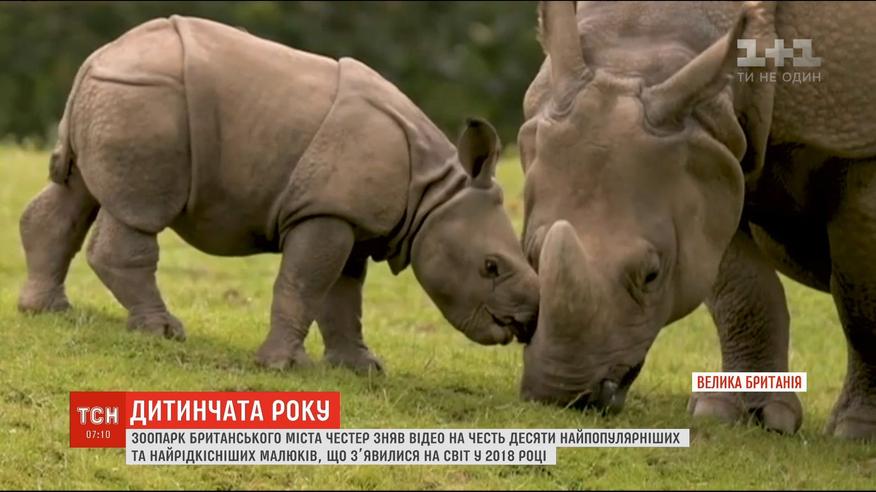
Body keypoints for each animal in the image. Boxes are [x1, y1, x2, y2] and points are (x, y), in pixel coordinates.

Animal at [17, 15, 539, 373]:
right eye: (491, 267)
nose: (526, 322)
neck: (432, 196)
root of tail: (99, 57)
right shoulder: (325, 211)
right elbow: (304, 282)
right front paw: (283, 366)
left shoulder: (347, 214)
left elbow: (342, 297)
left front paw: (362, 369)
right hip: (147, 99)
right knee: (137, 211)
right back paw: (163, 333)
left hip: (117, 96)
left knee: (76, 192)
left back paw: (46, 310)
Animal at [517, 0, 876, 440]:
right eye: (531, 256)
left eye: (652, 275)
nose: (563, 394)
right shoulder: (715, 151)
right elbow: (743, 290)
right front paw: (737, 415)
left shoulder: (856, 145)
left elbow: (861, 304)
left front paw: (858, 432)